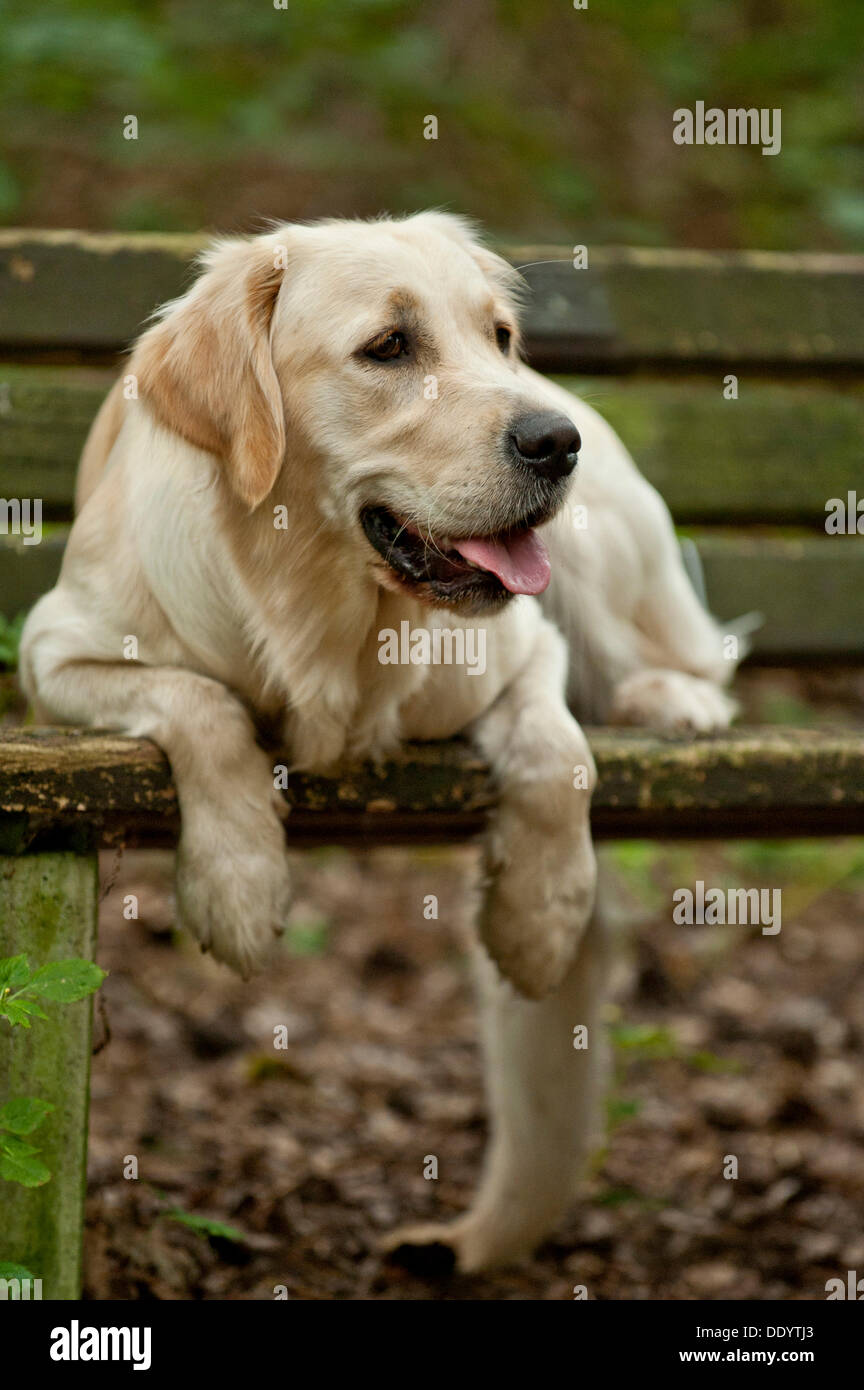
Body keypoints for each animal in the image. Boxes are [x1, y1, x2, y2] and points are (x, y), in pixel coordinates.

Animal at [18, 214, 738, 1273]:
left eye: (499, 337)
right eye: (390, 347)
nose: (553, 439)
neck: (332, 610)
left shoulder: (528, 646)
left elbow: (559, 754)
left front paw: (539, 919)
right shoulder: (55, 651)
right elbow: (202, 705)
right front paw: (238, 883)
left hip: (607, 545)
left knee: (663, 653)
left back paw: (671, 698)